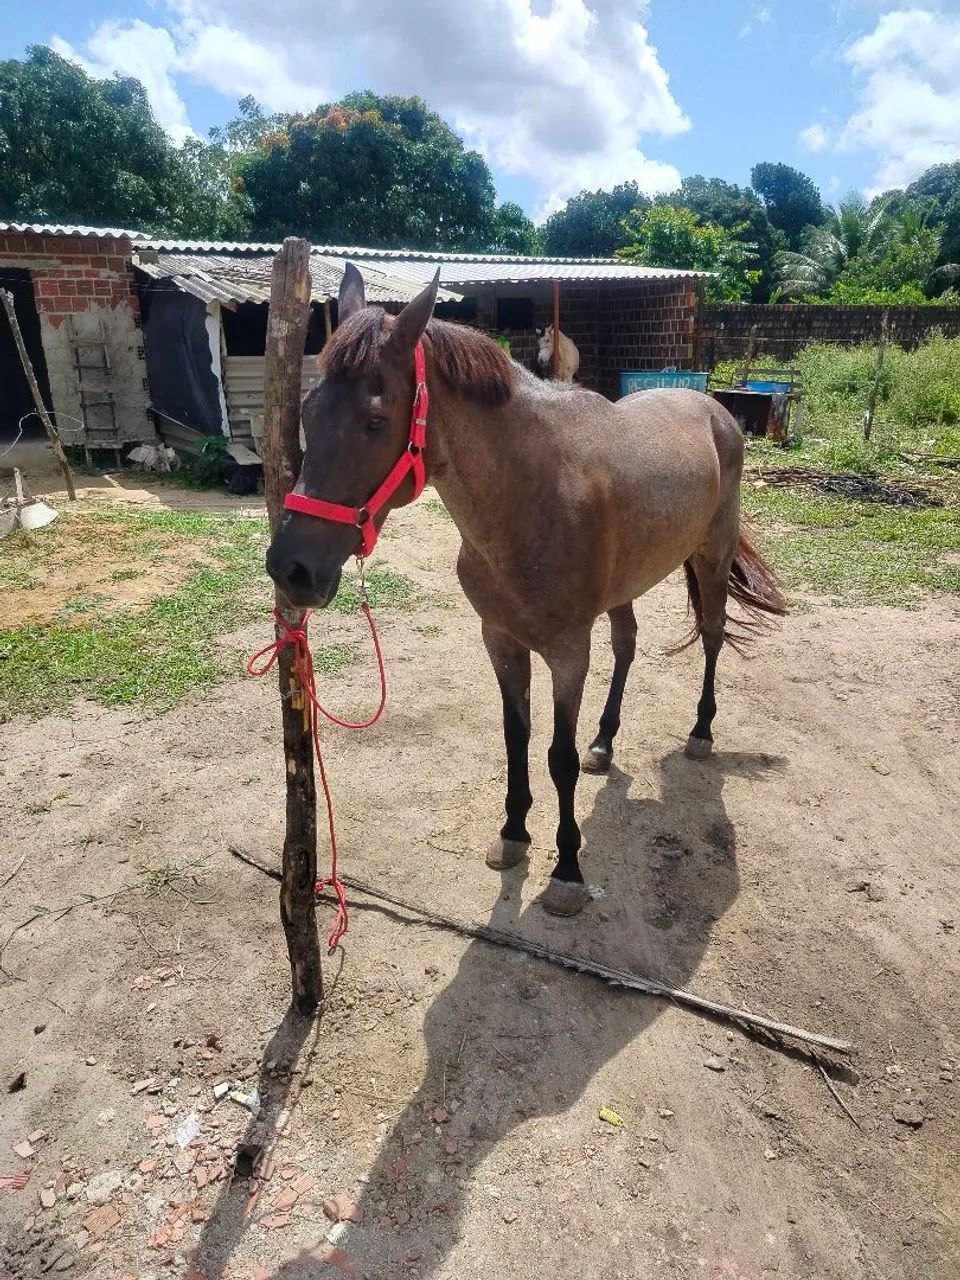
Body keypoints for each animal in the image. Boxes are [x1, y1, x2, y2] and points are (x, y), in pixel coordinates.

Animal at [266, 265, 786, 917]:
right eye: (309, 410)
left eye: (375, 421)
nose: (290, 568)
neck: (530, 493)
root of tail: (714, 408)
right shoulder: (502, 641)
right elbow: (517, 738)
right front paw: (514, 833)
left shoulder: (567, 651)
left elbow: (558, 757)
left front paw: (567, 871)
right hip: (625, 587)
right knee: (626, 645)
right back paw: (605, 741)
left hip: (710, 559)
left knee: (712, 636)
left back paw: (700, 732)